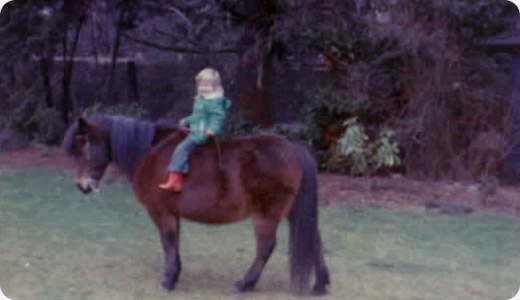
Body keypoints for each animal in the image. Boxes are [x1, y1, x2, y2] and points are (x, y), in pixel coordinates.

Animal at [62, 115, 330, 296]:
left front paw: (167, 281)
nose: (82, 186)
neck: (150, 152)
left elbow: (168, 244)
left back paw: (245, 283)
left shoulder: (162, 213)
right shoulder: (173, 214)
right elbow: (174, 245)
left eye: (83, 145)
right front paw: (175, 275)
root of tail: (294, 150)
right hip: (291, 211)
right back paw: (320, 284)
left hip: (266, 214)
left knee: (266, 246)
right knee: (314, 240)